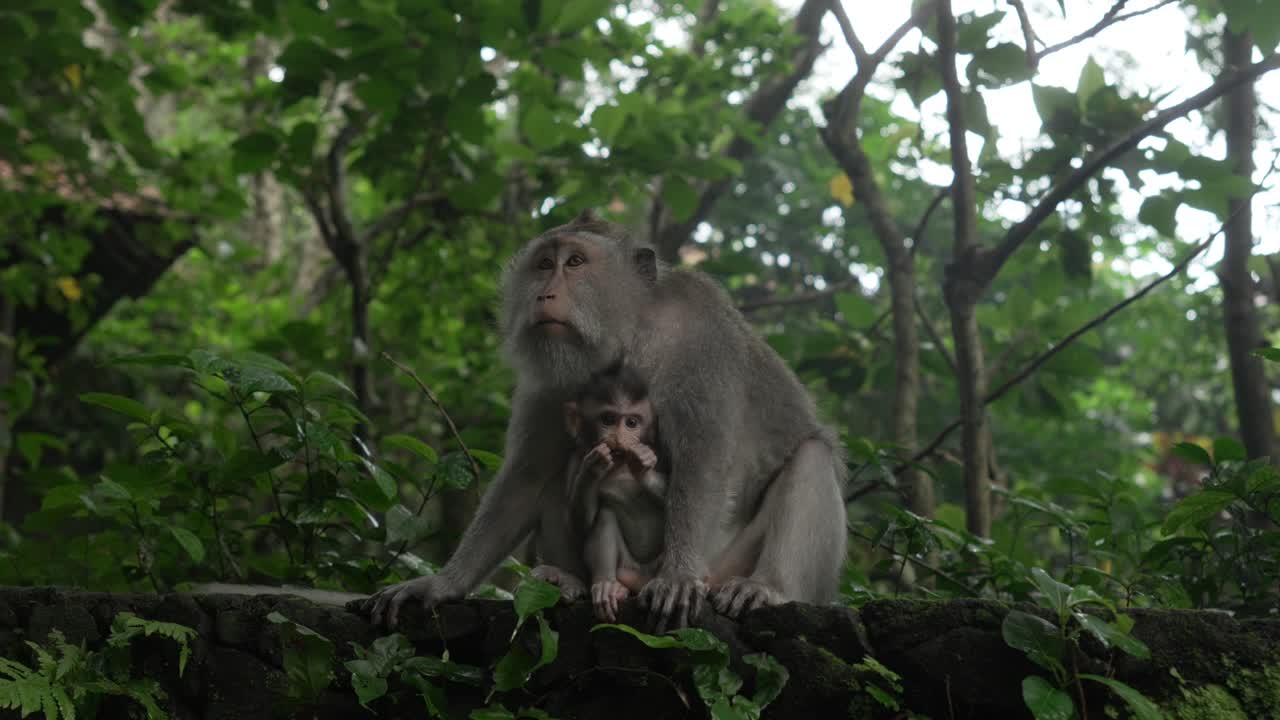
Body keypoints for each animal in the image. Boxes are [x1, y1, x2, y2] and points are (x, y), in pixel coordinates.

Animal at [529, 360, 668, 621]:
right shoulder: (575, 459)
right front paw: (593, 469)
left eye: (631, 423)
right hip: (627, 566)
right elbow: (579, 525)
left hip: (655, 567)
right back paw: (609, 586)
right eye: (608, 419)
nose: (619, 438)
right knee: (605, 516)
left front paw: (643, 464)